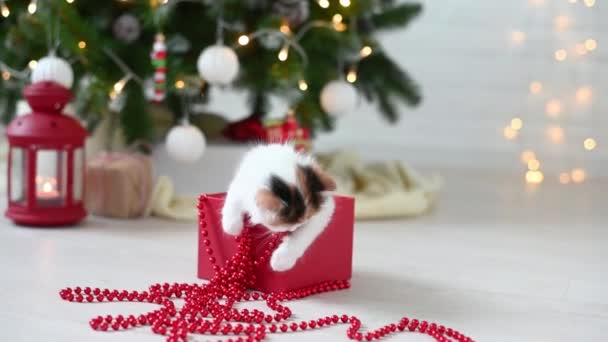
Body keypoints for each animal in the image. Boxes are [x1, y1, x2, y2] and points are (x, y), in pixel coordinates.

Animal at [223, 143, 338, 272]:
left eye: (303, 221)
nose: (293, 229)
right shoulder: (240, 185)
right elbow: (232, 201)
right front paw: (233, 228)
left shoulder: (324, 212)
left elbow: (303, 235)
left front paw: (281, 261)